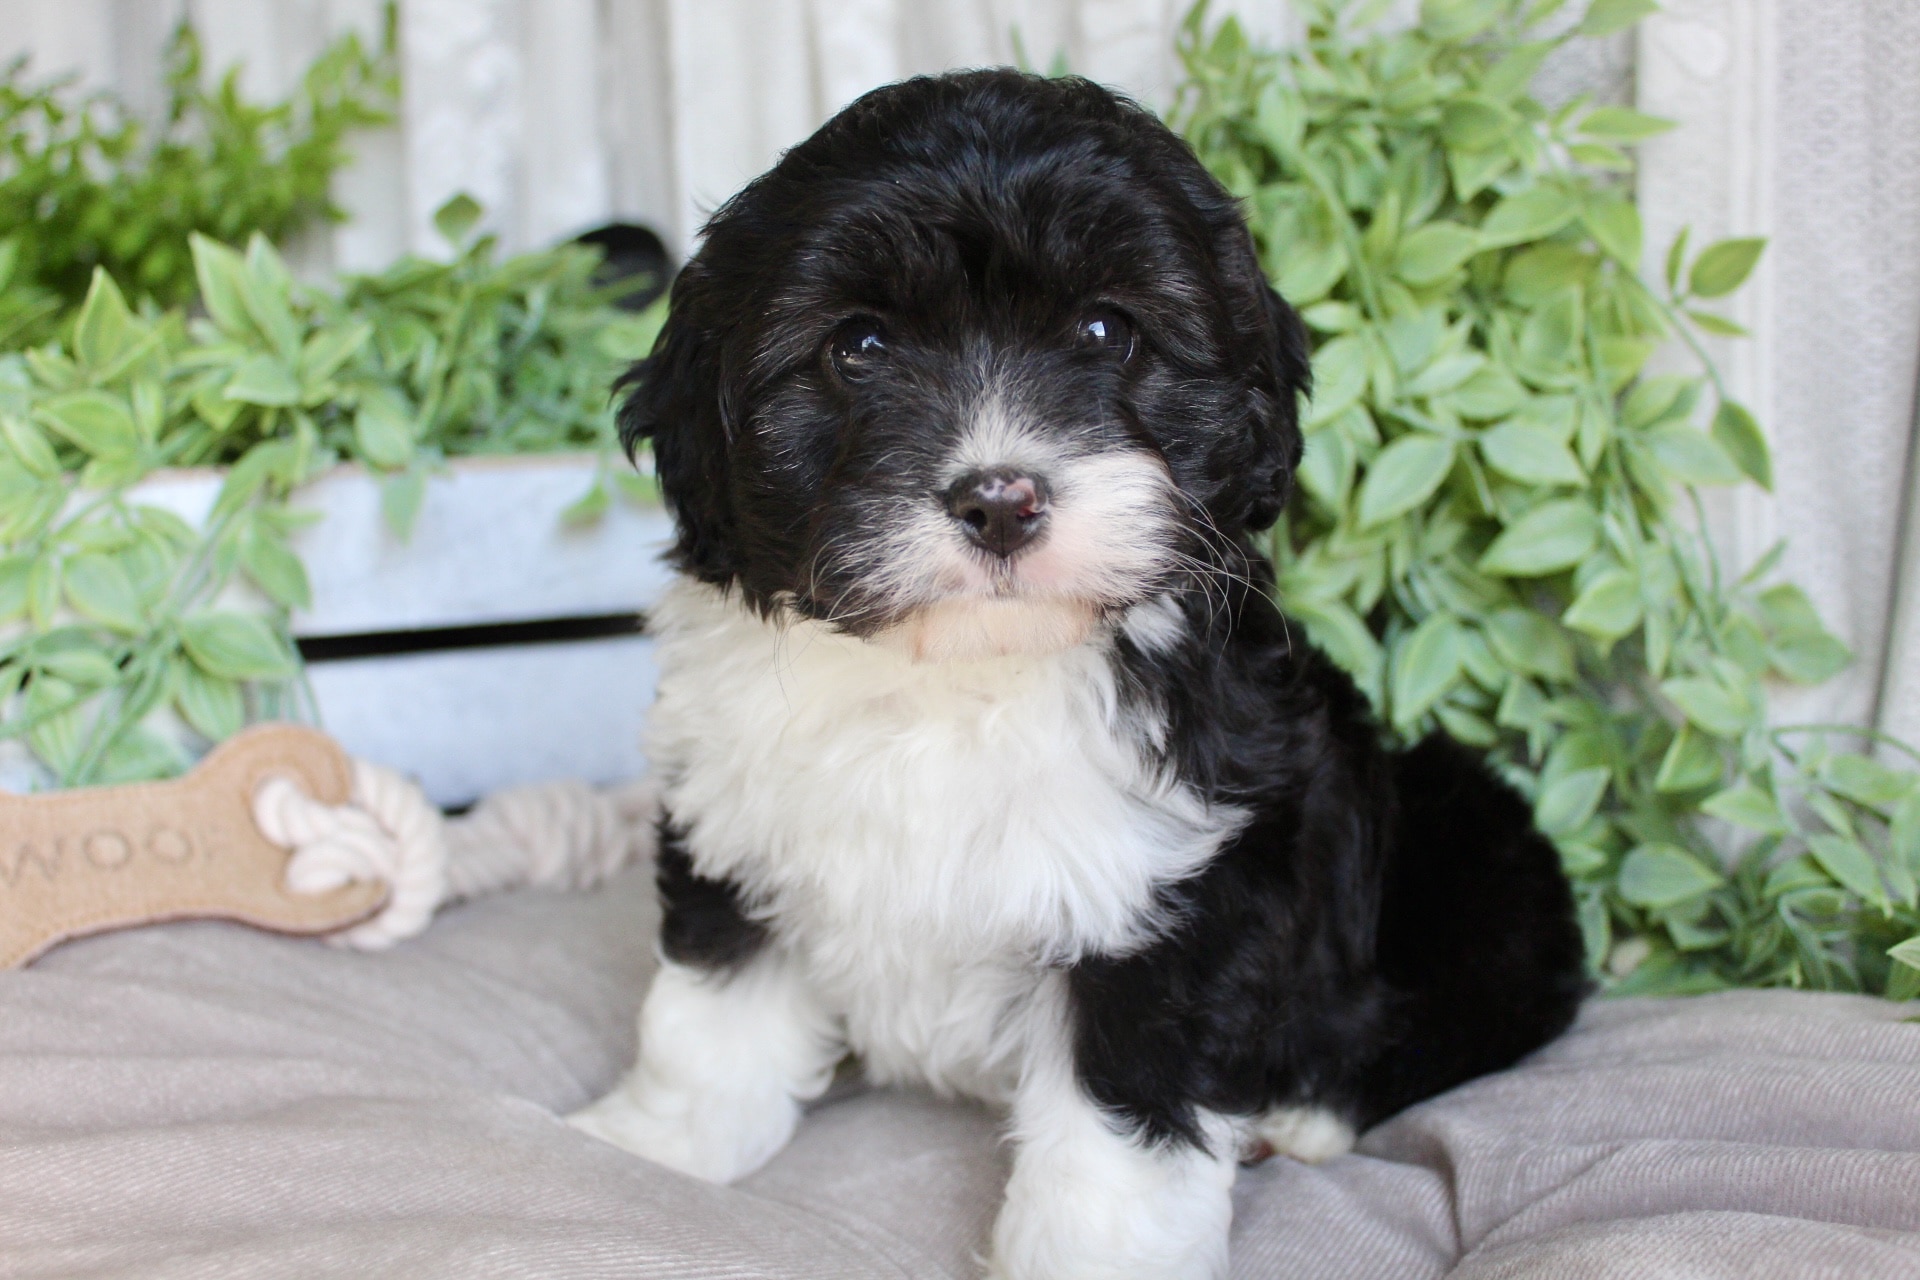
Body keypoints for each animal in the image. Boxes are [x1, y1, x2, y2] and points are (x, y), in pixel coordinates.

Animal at [568, 67, 1589, 1280]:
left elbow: (1124, 1129)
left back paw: (1305, 1110)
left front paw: (1090, 1254)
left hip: (1472, 841)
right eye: (859, 347)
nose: (1001, 498)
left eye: (1108, 329)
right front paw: (655, 1148)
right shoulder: (735, 808)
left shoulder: (1178, 892)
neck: (963, 673)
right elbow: (710, 1010)